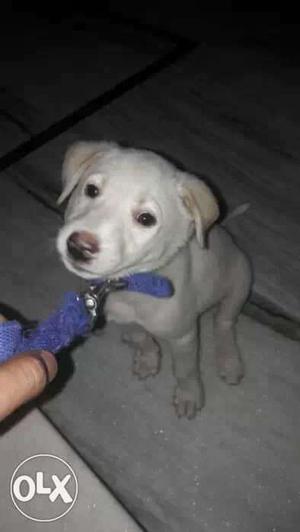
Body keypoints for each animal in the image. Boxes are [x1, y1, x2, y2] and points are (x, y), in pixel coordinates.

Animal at [56, 141, 251, 420]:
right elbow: (140, 335)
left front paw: (189, 395)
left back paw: (229, 361)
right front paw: (148, 357)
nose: (78, 247)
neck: (131, 285)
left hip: (240, 283)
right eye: (91, 190)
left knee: (224, 323)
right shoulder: (124, 316)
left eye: (146, 219)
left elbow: (185, 370)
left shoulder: (184, 337)